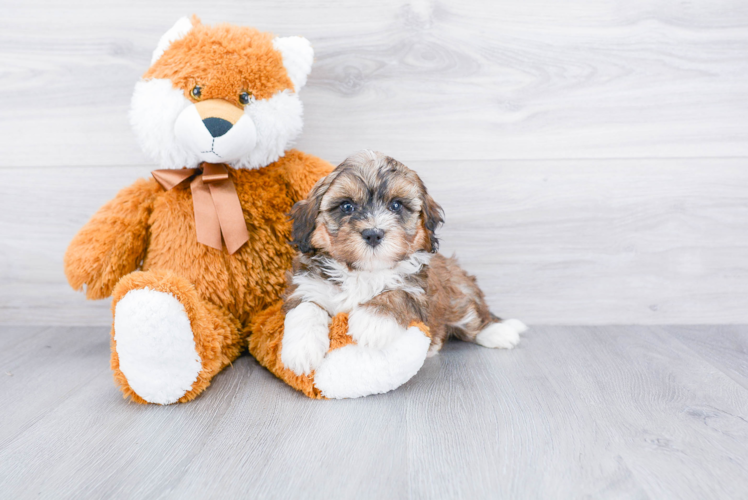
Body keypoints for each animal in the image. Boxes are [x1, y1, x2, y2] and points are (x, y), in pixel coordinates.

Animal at [276, 150, 524, 376]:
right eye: (347, 206)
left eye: (396, 205)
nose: (373, 234)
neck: (363, 272)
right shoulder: (305, 286)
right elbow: (306, 308)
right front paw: (301, 350)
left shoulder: (419, 289)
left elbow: (398, 292)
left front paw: (373, 320)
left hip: (459, 296)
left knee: (473, 318)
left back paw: (500, 332)